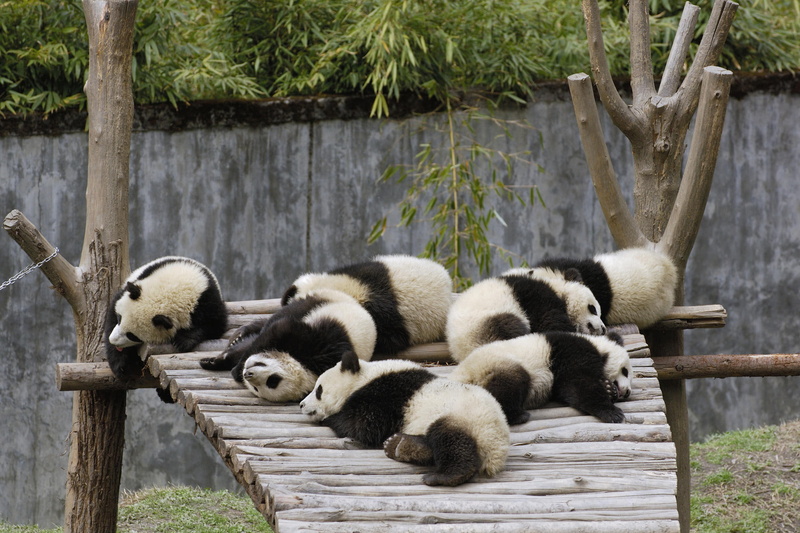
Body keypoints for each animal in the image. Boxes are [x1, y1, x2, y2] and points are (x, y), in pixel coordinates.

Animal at [200, 289, 377, 402]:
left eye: (270, 383)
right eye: (274, 379)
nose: (247, 374)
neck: (307, 366)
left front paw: (231, 367)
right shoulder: (318, 342)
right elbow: (278, 329)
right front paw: (229, 365)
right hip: (319, 302)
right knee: (280, 316)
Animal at [300, 351, 509, 486]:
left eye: (319, 390)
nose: (301, 405)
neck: (365, 377)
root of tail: (497, 448)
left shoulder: (386, 395)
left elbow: (364, 425)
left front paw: (330, 418)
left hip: (464, 417)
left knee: (452, 440)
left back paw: (442, 476)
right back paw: (400, 445)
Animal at [446, 269, 606, 362]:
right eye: (593, 309)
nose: (603, 329)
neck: (557, 287)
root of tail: (461, 351)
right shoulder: (536, 296)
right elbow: (550, 321)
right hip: (484, 323)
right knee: (509, 327)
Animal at [450, 331, 632, 425]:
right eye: (625, 371)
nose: (628, 392)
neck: (598, 346)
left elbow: (567, 390)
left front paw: (608, 389)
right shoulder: (572, 352)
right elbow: (579, 384)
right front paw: (612, 413)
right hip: (493, 366)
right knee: (509, 384)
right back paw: (517, 415)